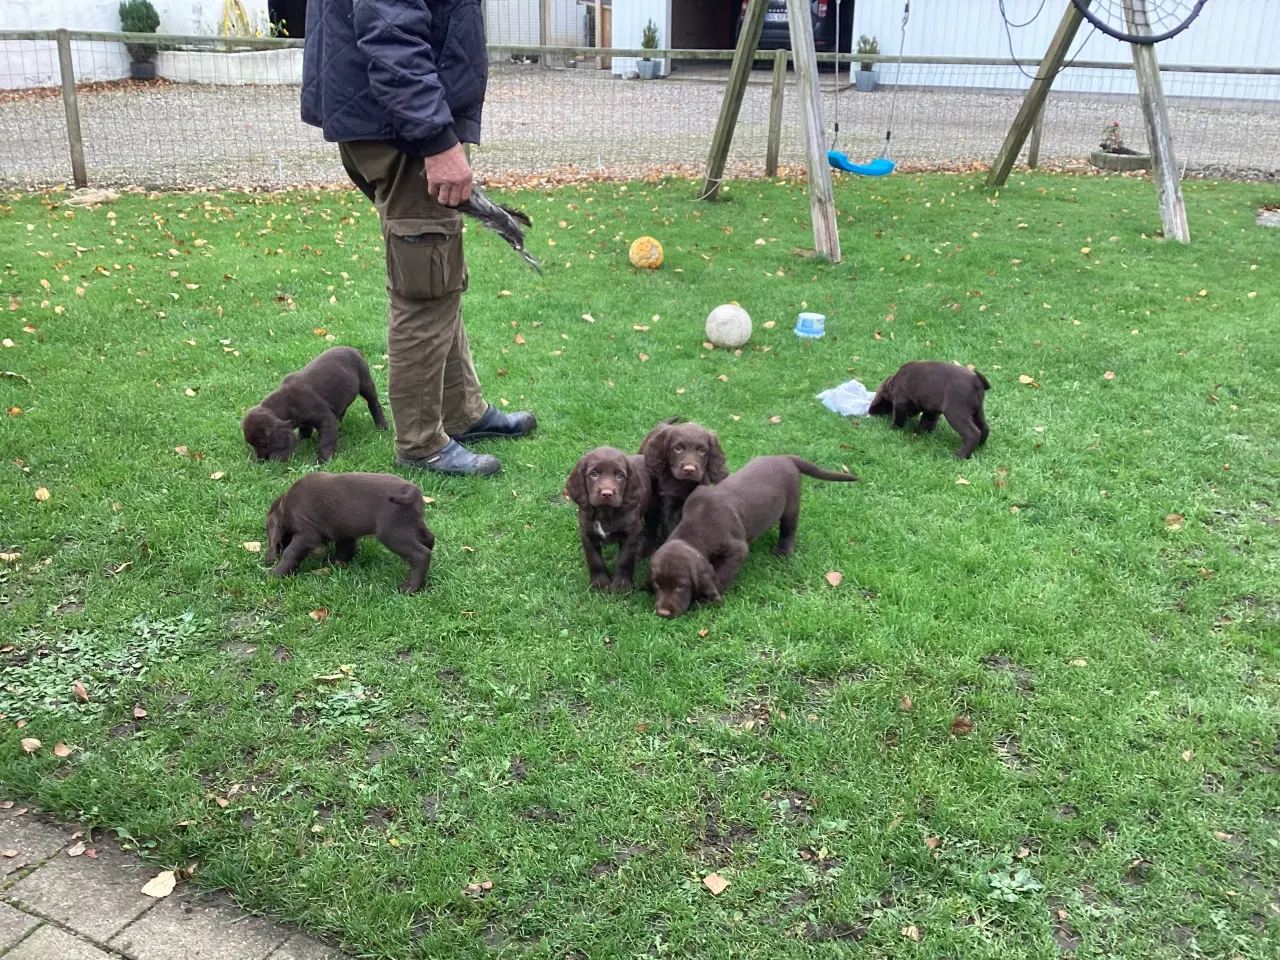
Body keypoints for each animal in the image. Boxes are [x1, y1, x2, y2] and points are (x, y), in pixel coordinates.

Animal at [241, 348, 386, 463]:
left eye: (263, 443)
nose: (260, 460)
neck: (286, 402)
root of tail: (356, 350)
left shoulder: (325, 418)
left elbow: (325, 441)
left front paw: (323, 460)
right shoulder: (303, 420)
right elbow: (305, 431)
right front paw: (302, 440)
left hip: (366, 384)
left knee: (374, 405)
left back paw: (382, 426)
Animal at [264, 473, 435, 593]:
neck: (284, 505)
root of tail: (411, 490)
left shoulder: (306, 534)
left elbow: (290, 552)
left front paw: (276, 573)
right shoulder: (345, 531)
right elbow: (345, 548)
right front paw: (337, 562)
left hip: (392, 532)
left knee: (421, 554)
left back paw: (410, 586)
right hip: (413, 524)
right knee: (429, 539)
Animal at [568, 448, 655, 591]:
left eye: (620, 476)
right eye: (594, 474)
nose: (607, 493)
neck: (605, 512)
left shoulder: (631, 534)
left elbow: (625, 560)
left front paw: (622, 586)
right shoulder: (587, 534)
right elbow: (595, 560)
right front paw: (600, 583)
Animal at [650, 455, 860, 619]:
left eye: (680, 586)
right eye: (657, 584)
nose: (663, 613)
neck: (697, 528)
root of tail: (785, 457)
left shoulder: (736, 549)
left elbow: (721, 576)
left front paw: (707, 599)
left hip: (791, 505)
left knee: (788, 529)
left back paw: (783, 552)